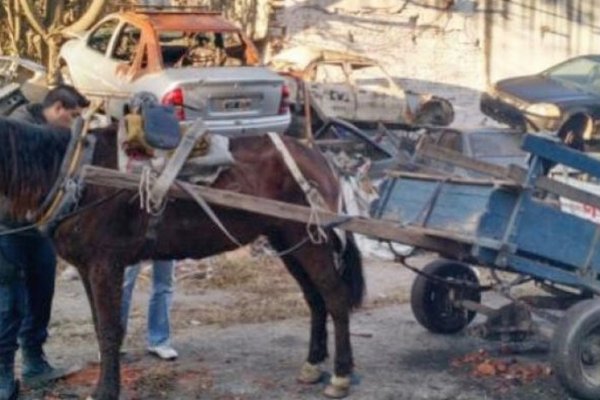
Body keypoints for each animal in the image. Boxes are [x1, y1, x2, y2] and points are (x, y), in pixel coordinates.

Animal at [0, 119, 366, 400]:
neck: (75, 174)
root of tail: (318, 156)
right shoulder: (88, 267)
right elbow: (100, 327)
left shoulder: (105, 265)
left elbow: (109, 329)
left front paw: (106, 391)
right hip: (287, 239)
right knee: (315, 299)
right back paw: (313, 365)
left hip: (309, 240)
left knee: (335, 298)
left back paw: (340, 376)